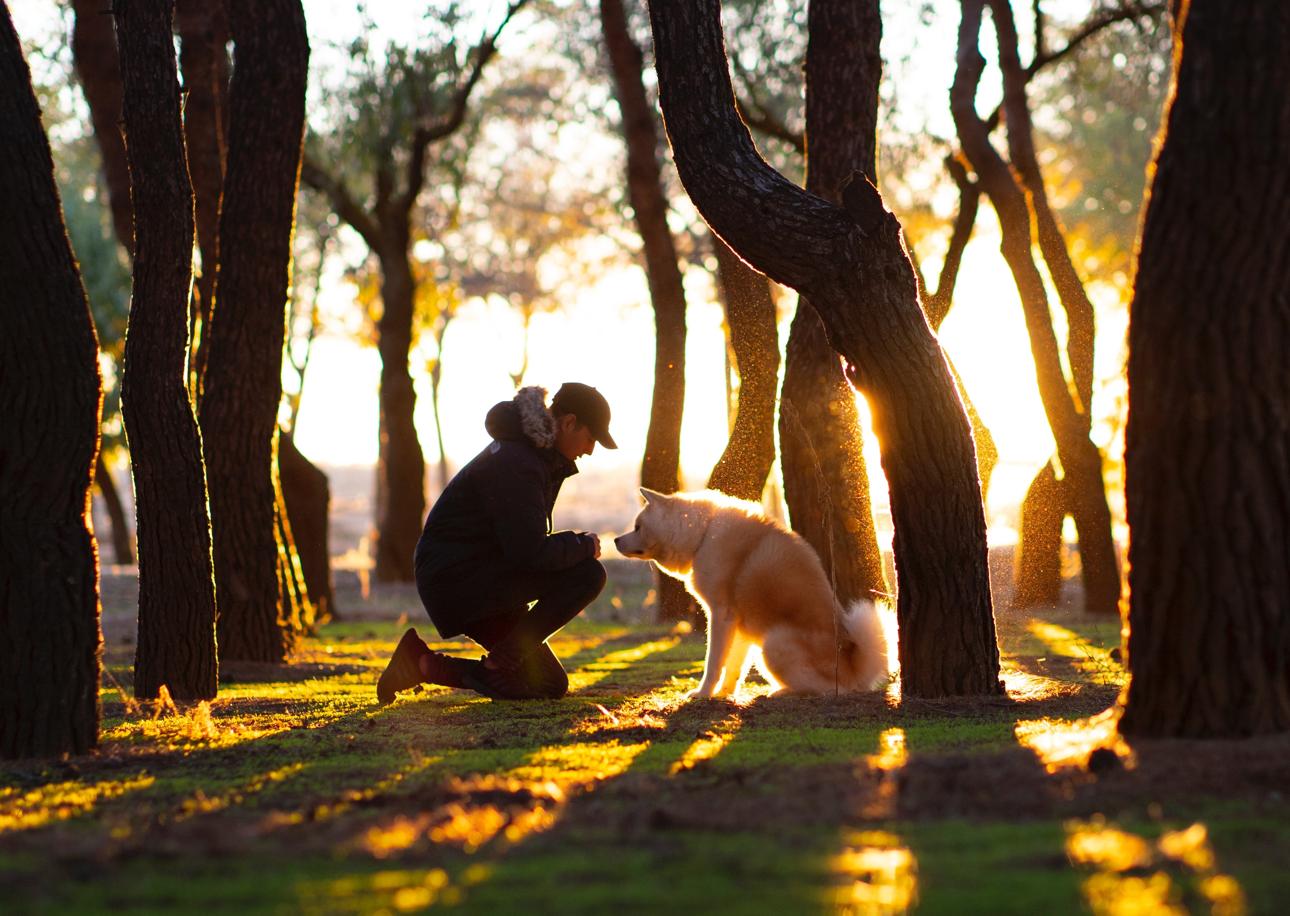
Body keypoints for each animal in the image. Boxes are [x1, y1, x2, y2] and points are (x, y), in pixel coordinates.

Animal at [614, 492, 887, 701]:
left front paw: (704, 693)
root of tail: (853, 668)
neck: (704, 534)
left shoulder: (720, 617)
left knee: (827, 689)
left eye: (638, 527)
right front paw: (724, 694)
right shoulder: (740, 626)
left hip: (772, 644)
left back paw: (783, 691)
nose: (616, 540)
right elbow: (734, 667)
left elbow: (714, 663)